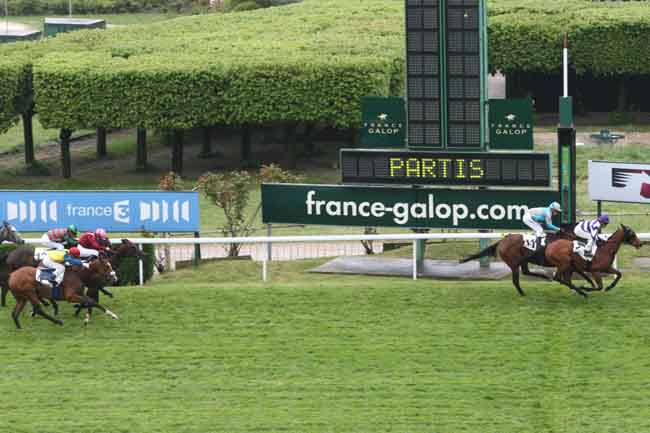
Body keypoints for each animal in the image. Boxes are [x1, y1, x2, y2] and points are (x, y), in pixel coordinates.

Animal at [459, 226, 596, 296]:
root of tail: (502, 241)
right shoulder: (566, 264)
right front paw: (584, 289)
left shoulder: (570, 264)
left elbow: (582, 273)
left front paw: (588, 285)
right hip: (513, 263)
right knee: (516, 279)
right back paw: (523, 293)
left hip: (523, 260)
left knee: (526, 271)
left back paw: (545, 277)